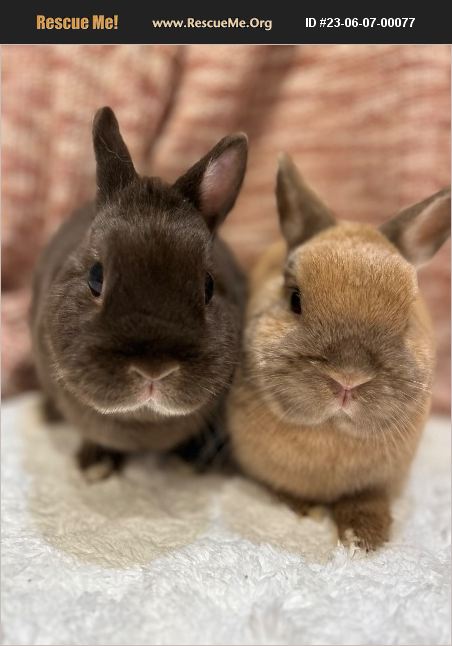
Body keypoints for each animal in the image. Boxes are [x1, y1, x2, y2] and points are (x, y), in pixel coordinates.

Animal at [227, 153, 450, 551]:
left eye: (407, 317)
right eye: (295, 299)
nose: (348, 379)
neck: (332, 431)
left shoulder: (378, 484)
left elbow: (366, 501)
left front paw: (365, 539)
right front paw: (310, 510)